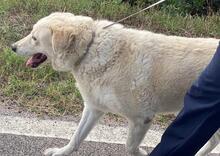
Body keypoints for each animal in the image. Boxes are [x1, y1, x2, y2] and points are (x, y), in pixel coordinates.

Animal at [11, 12, 218, 156]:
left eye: (34, 38)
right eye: (31, 34)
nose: (12, 47)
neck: (89, 49)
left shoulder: (141, 119)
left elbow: (131, 147)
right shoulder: (93, 108)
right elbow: (76, 138)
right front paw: (61, 152)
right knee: (213, 141)